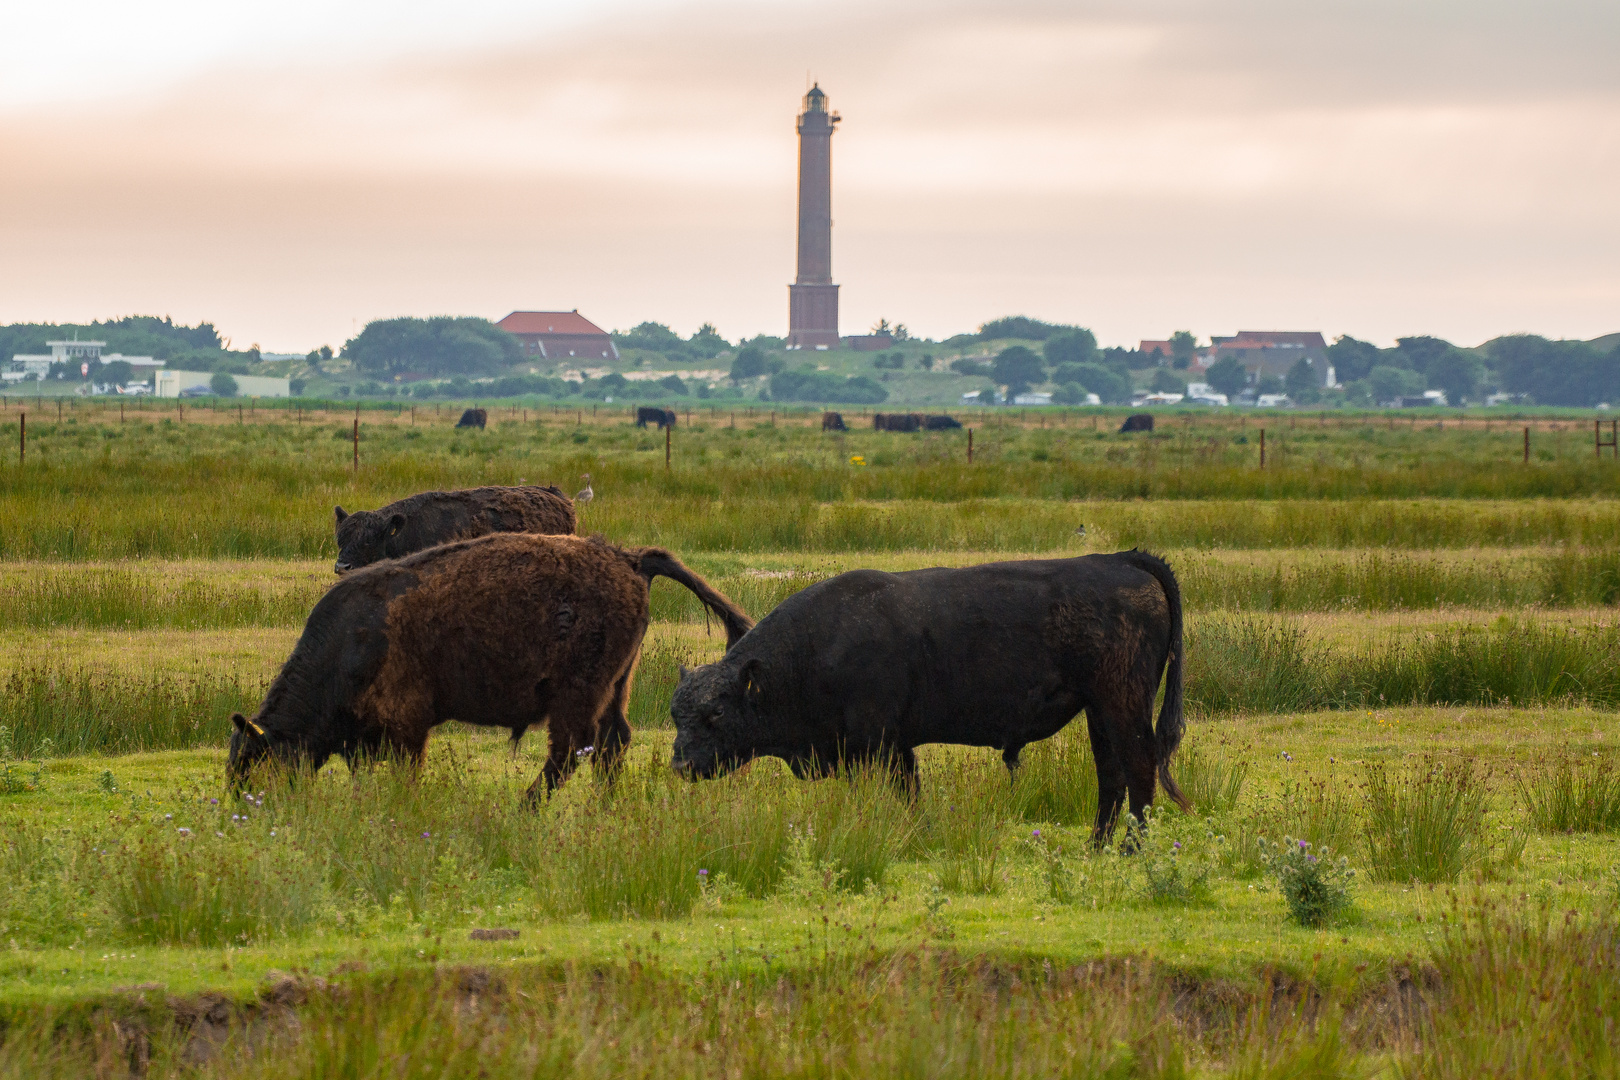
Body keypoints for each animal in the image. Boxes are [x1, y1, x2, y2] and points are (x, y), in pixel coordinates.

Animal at [228, 534, 751, 803]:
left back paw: (525, 807)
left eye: (251, 765)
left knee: (571, 750)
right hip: (615, 686)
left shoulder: (407, 723)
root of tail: (630, 559)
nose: (240, 811)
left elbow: (405, 769)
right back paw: (604, 805)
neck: (351, 642)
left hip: (576, 694)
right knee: (611, 743)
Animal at [670, 550, 1192, 841]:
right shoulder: (891, 747)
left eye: (716, 712)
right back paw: (1095, 848)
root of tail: (1120, 559)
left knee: (1139, 770)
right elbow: (906, 793)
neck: (818, 645)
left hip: (1123, 706)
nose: (681, 765)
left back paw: (1131, 849)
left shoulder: (875, 745)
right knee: (1111, 777)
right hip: (1098, 712)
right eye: (676, 714)